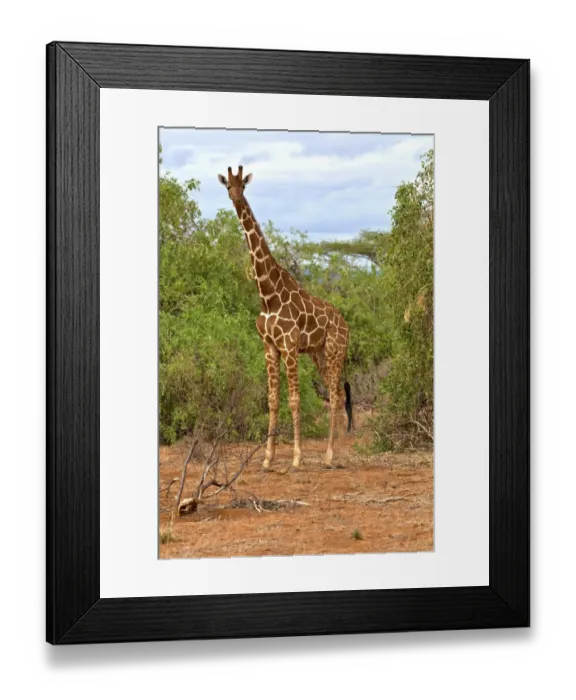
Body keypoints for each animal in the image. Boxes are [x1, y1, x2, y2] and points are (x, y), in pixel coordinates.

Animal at [218, 166, 352, 472]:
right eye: (227, 185)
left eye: (243, 184)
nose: (236, 198)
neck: (268, 294)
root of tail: (346, 324)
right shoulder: (269, 347)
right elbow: (272, 401)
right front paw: (267, 459)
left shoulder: (289, 347)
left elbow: (293, 399)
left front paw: (296, 457)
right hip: (318, 353)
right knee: (337, 393)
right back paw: (336, 455)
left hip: (335, 350)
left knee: (335, 395)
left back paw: (332, 455)